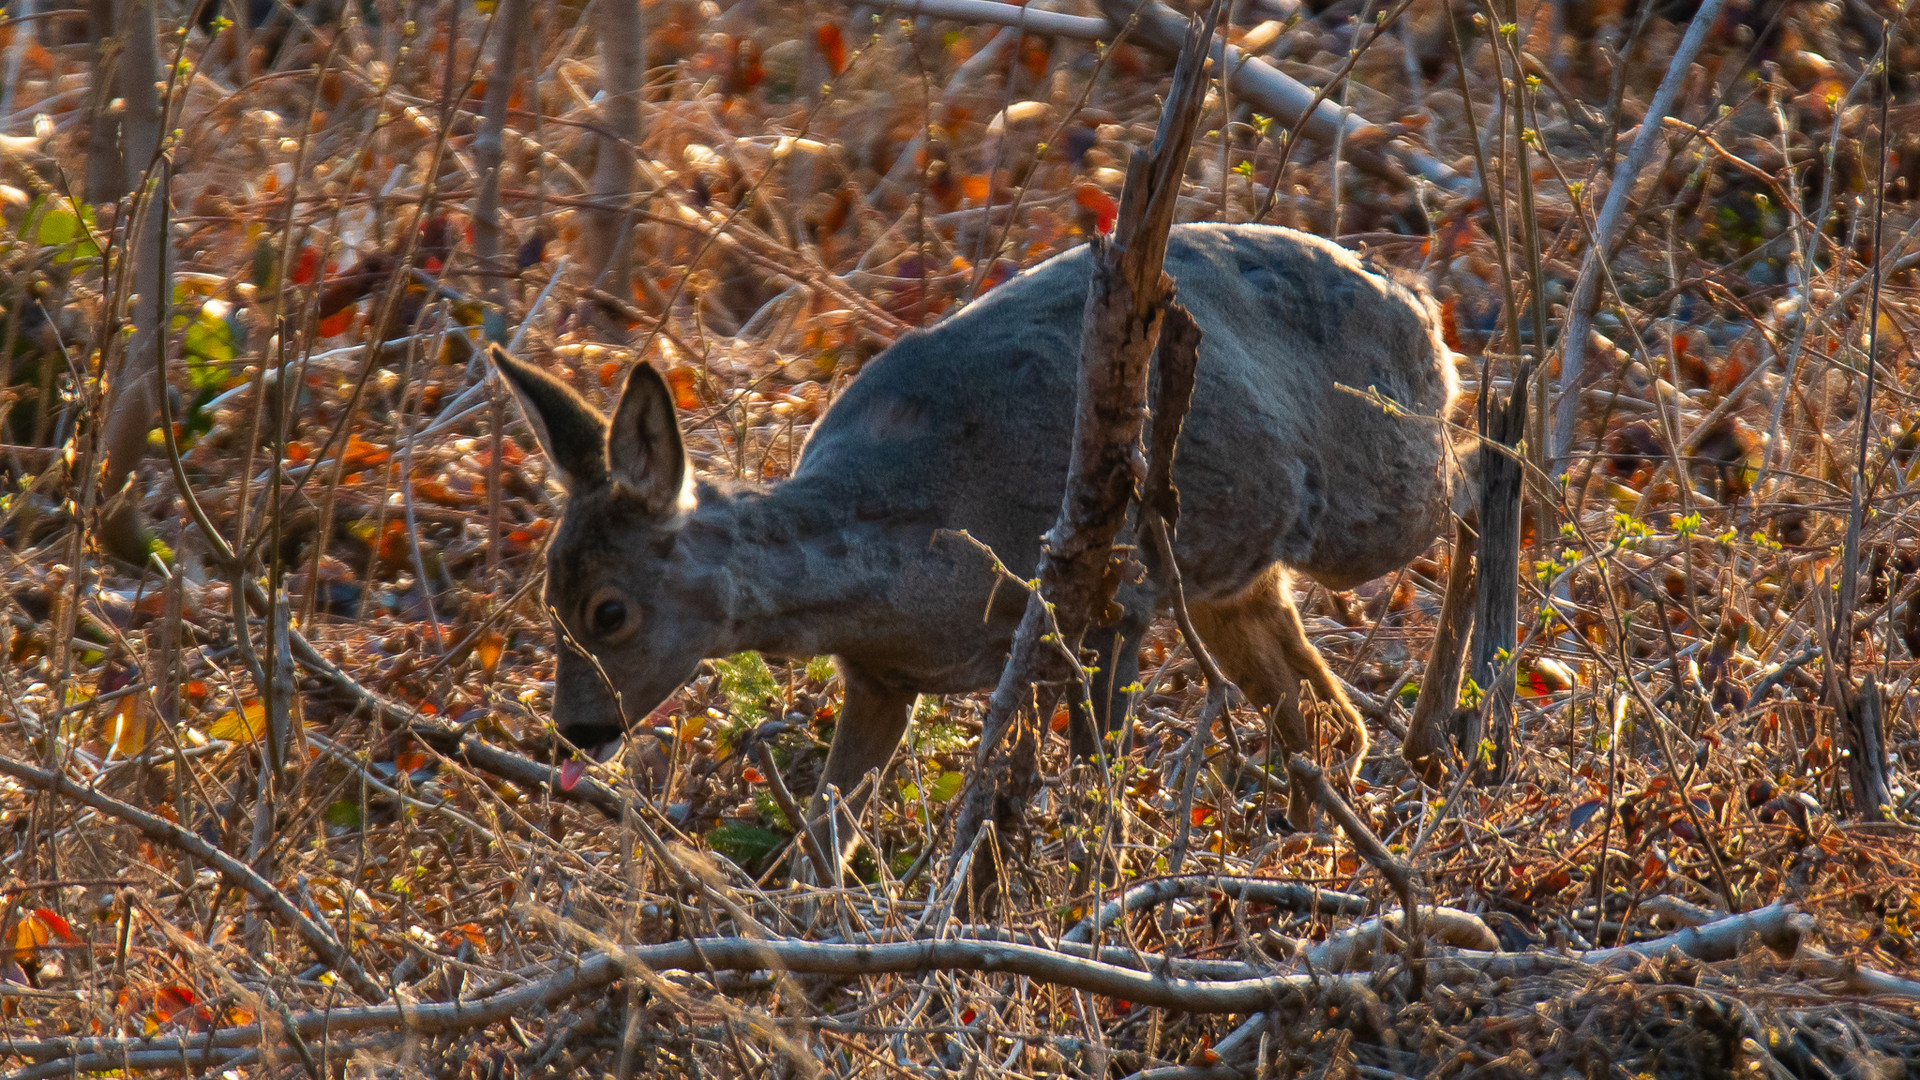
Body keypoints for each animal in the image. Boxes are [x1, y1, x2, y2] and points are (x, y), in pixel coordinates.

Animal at [487, 222, 1459, 860]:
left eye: (609, 610)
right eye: (549, 596)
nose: (573, 732)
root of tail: (1415, 298)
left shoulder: (1110, 603)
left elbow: (1097, 792)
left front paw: (1099, 887)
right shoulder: (881, 679)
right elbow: (825, 835)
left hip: (1378, 497)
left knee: (1474, 478)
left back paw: (1442, 720)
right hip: (1234, 577)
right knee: (1323, 714)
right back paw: (1313, 827)